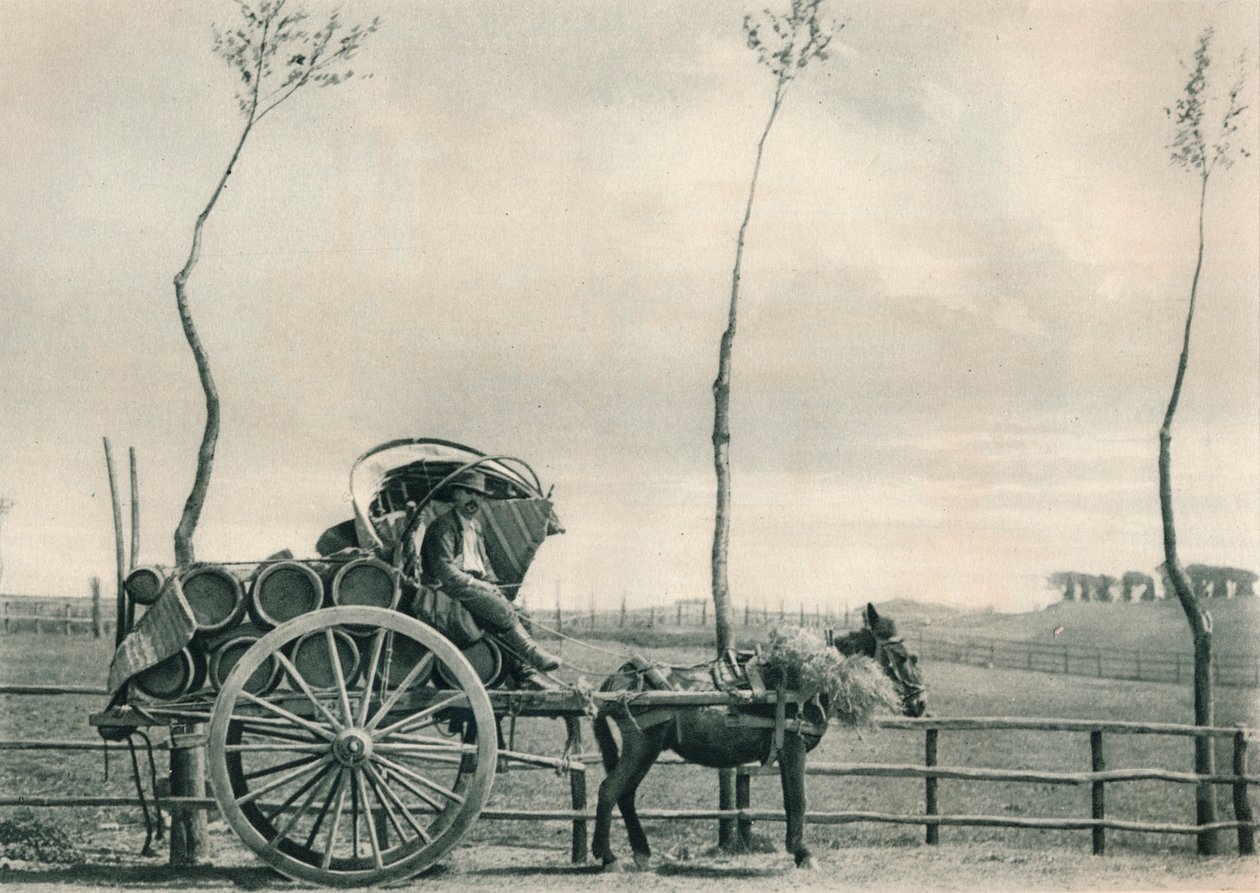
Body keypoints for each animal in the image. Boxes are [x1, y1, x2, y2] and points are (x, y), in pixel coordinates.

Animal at [589, 602, 927, 866]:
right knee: (609, 790)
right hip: (642, 747)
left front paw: (796, 849)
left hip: (646, 750)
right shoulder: (793, 747)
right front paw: (804, 853)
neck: (808, 677)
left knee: (626, 795)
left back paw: (641, 853)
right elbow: (799, 800)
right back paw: (607, 856)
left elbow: (790, 801)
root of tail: (619, 677)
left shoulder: (786, 752)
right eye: (904, 656)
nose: (921, 703)